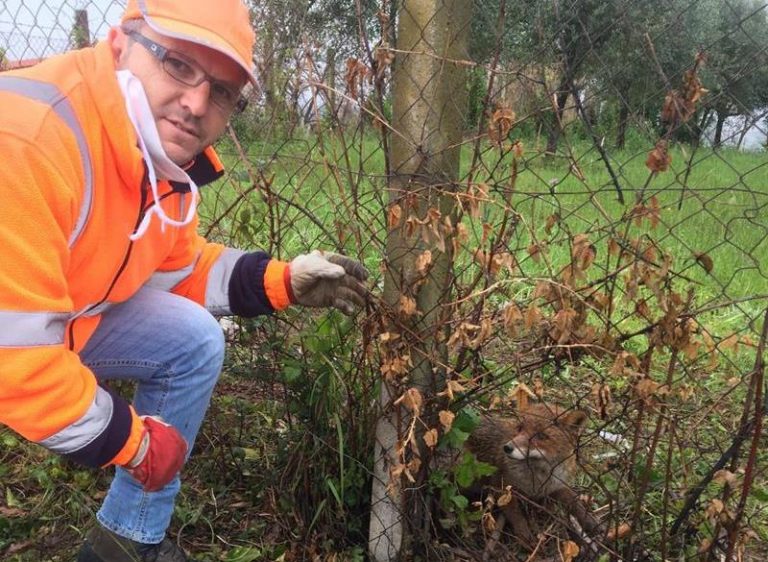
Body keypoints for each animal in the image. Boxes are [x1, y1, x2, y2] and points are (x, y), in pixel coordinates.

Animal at [462, 400, 600, 544]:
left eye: (540, 436)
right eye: (520, 428)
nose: (507, 448)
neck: (539, 478)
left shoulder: (555, 485)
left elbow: (575, 501)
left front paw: (590, 521)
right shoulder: (500, 485)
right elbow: (515, 513)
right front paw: (524, 534)